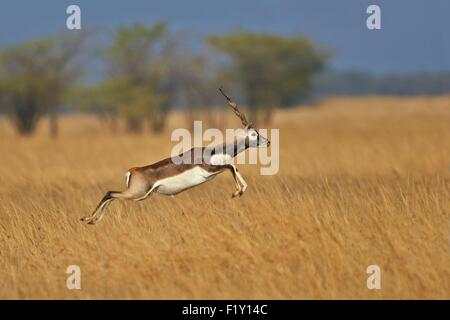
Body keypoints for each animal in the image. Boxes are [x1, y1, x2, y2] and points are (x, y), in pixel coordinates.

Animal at [80, 86, 270, 224]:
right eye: (254, 133)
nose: (268, 142)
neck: (215, 151)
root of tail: (132, 170)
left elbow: (235, 169)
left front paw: (239, 191)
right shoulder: (209, 169)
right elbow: (230, 166)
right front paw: (236, 192)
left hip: (141, 196)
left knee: (111, 195)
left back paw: (91, 220)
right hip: (137, 194)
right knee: (110, 193)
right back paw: (88, 218)